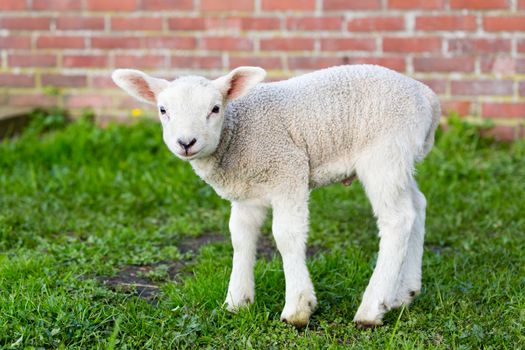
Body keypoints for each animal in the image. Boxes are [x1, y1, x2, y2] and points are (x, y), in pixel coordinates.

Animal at [112, 65, 440, 328]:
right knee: (418, 206)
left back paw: (372, 308)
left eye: (215, 109)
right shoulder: (246, 193)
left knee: (397, 219)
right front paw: (237, 301)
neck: (237, 133)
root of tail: (427, 97)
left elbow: (286, 236)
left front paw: (298, 308)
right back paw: (405, 293)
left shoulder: (288, 171)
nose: (186, 142)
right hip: (400, 159)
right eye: (163, 110)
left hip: (384, 154)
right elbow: (240, 237)